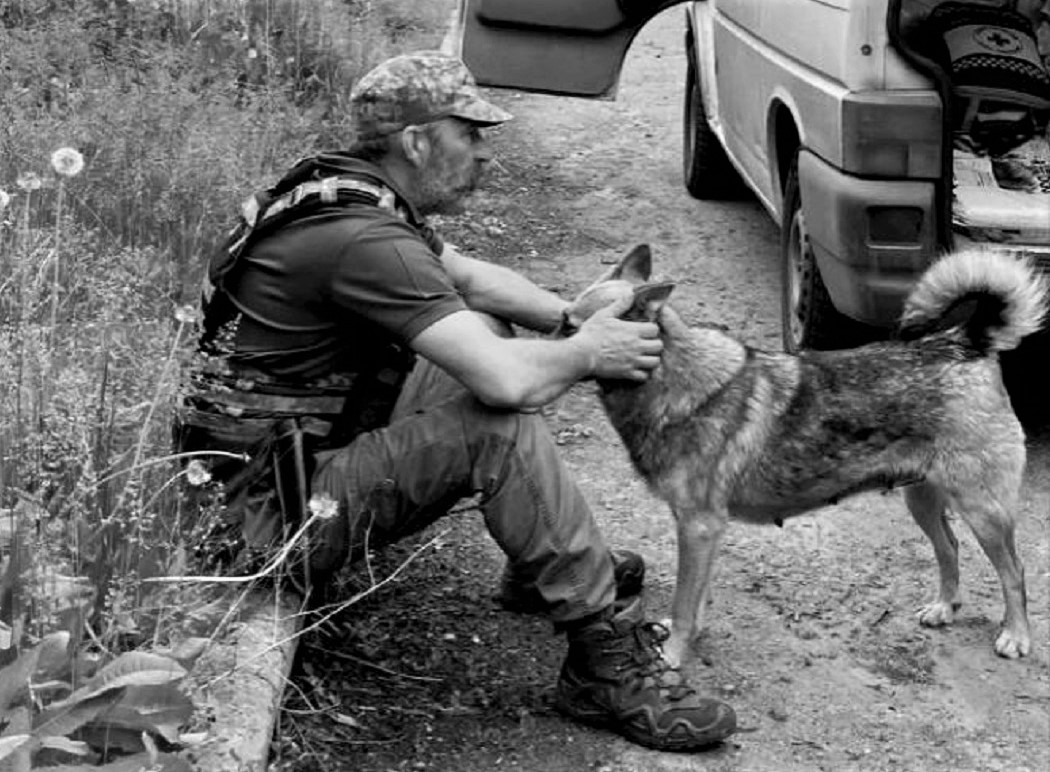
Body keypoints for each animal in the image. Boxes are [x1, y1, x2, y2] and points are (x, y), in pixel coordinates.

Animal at [567, 244, 1050, 668]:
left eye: (573, 329)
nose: (551, 335)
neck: (673, 379)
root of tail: (964, 341)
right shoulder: (700, 532)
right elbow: (696, 599)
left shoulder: (699, 527)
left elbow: (686, 603)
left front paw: (671, 655)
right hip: (923, 499)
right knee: (949, 547)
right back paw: (945, 607)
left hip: (983, 511)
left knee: (1015, 571)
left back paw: (1016, 635)